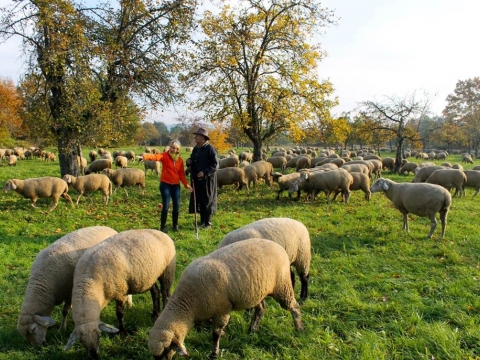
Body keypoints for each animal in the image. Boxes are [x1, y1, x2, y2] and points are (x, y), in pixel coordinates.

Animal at [64, 229, 176, 358]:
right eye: (81, 341)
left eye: (100, 335)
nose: (94, 356)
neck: (90, 281)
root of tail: (160, 232)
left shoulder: (120, 292)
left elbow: (119, 313)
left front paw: (122, 332)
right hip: (148, 276)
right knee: (156, 292)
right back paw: (155, 315)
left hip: (167, 272)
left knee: (166, 294)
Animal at [148, 239, 302, 360]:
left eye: (166, 351)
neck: (188, 304)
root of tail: (278, 246)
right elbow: (214, 327)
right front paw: (223, 335)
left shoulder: (221, 310)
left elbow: (215, 334)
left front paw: (214, 353)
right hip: (257, 291)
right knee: (261, 309)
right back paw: (252, 330)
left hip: (282, 286)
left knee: (294, 307)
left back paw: (299, 329)